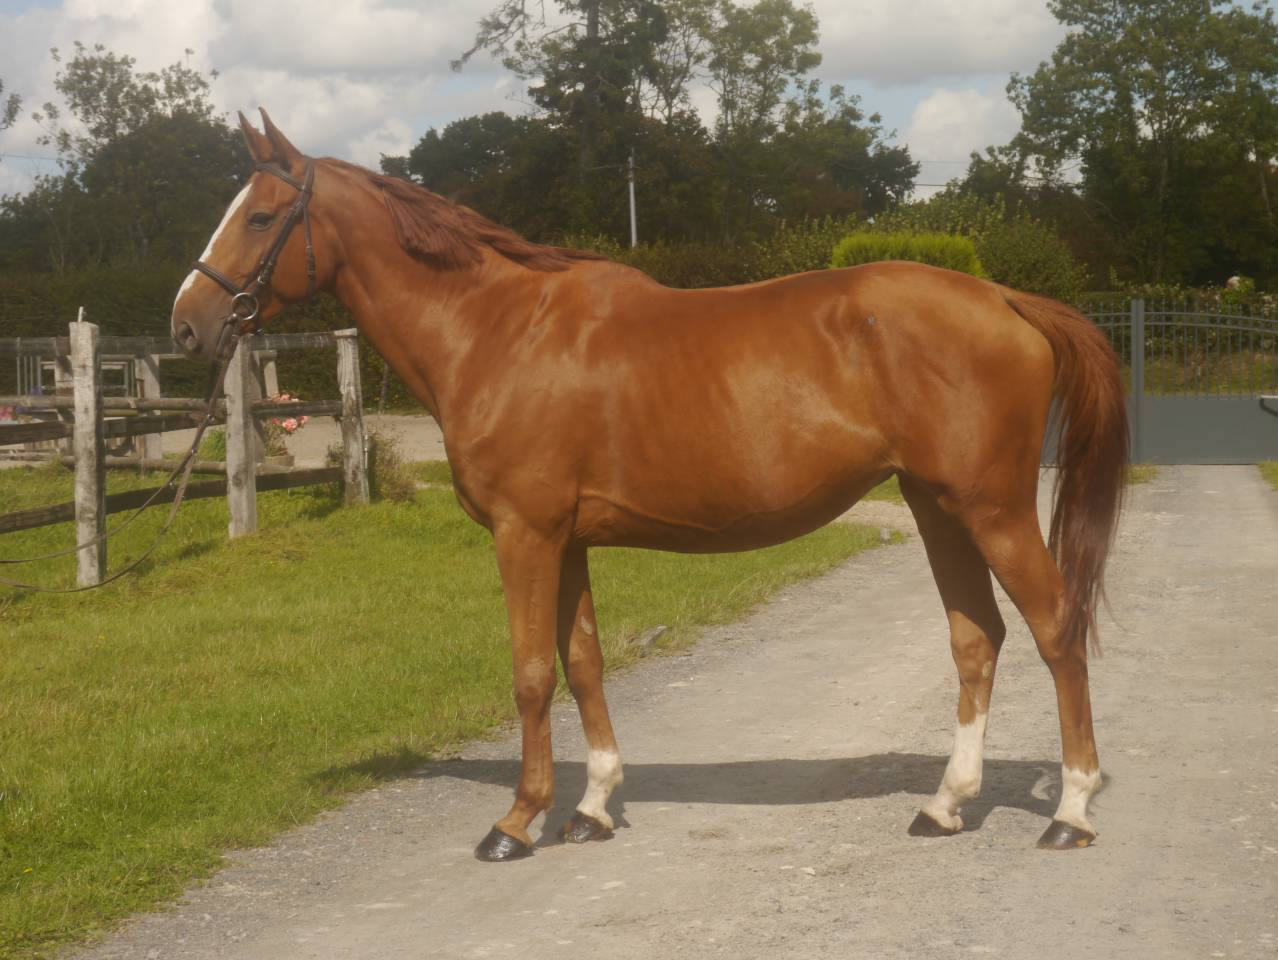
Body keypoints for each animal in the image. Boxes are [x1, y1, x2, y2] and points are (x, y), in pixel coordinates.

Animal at [172, 110, 1128, 861]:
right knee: (977, 638)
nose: (187, 324)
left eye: (261, 216)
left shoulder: (524, 534)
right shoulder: (566, 541)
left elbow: (530, 671)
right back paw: (945, 805)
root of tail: (1006, 298)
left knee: (1054, 628)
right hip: (938, 509)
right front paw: (592, 806)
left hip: (993, 509)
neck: (496, 331)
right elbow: (585, 662)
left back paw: (1073, 811)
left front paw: (517, 821)